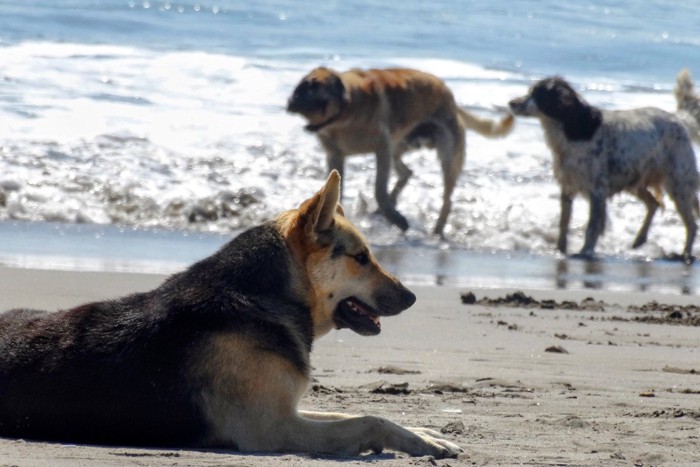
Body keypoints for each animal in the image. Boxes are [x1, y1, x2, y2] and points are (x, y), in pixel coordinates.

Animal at [286, 66, 516, 238]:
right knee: (407, 173)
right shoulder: (336, 156)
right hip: (399, 147)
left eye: (313, 87)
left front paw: (397, 219)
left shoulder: (382, 149)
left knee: (446, 199)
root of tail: (450, 98)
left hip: (446, 157)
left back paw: (436, 231)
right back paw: (386, 208)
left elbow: (379, 189)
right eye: (299, 89)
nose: (290, 101)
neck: (345, 117)